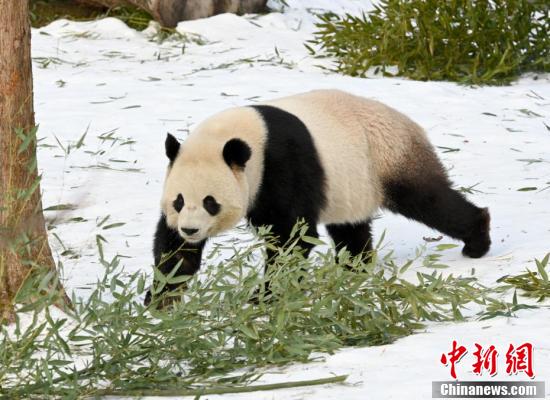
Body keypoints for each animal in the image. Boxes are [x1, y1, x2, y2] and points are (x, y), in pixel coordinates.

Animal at [146, 90, 492, 304]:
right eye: (178, 201)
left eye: (210, 202)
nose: (190, 230)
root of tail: (410, 123)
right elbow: (175, 253)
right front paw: (160, 300)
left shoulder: (281, 165)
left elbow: (291, 235)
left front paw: (265, 295)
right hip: (353, 183)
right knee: (351, 229)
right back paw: (354, 269)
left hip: (387, 157)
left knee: (429, 200)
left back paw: (477, 240)